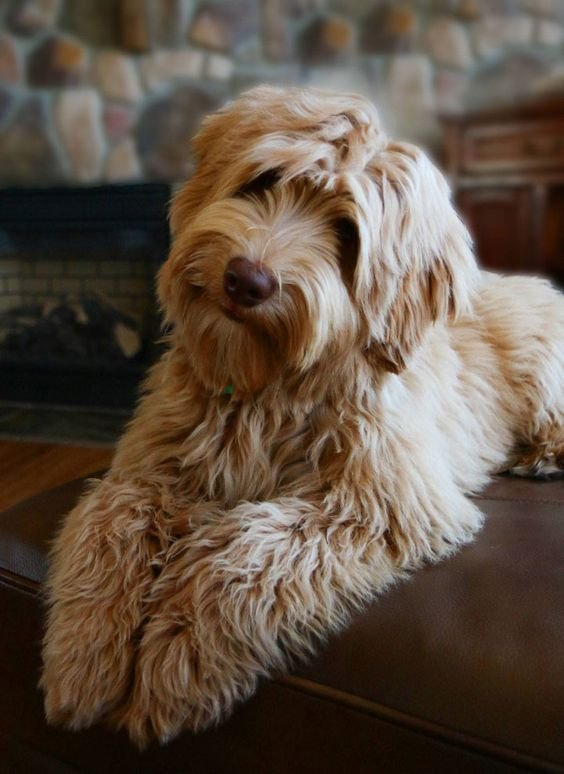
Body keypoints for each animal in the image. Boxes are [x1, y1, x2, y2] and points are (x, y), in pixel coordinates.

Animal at [41, 88, 564, 748]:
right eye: (264, 180)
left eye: (347, 232)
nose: (247, 280)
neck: (263, 388)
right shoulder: (148, 469)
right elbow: (109, 522)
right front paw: (85, 656)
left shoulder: (381, 503)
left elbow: (241, 553)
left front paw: (175, 661)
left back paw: (545, 456)